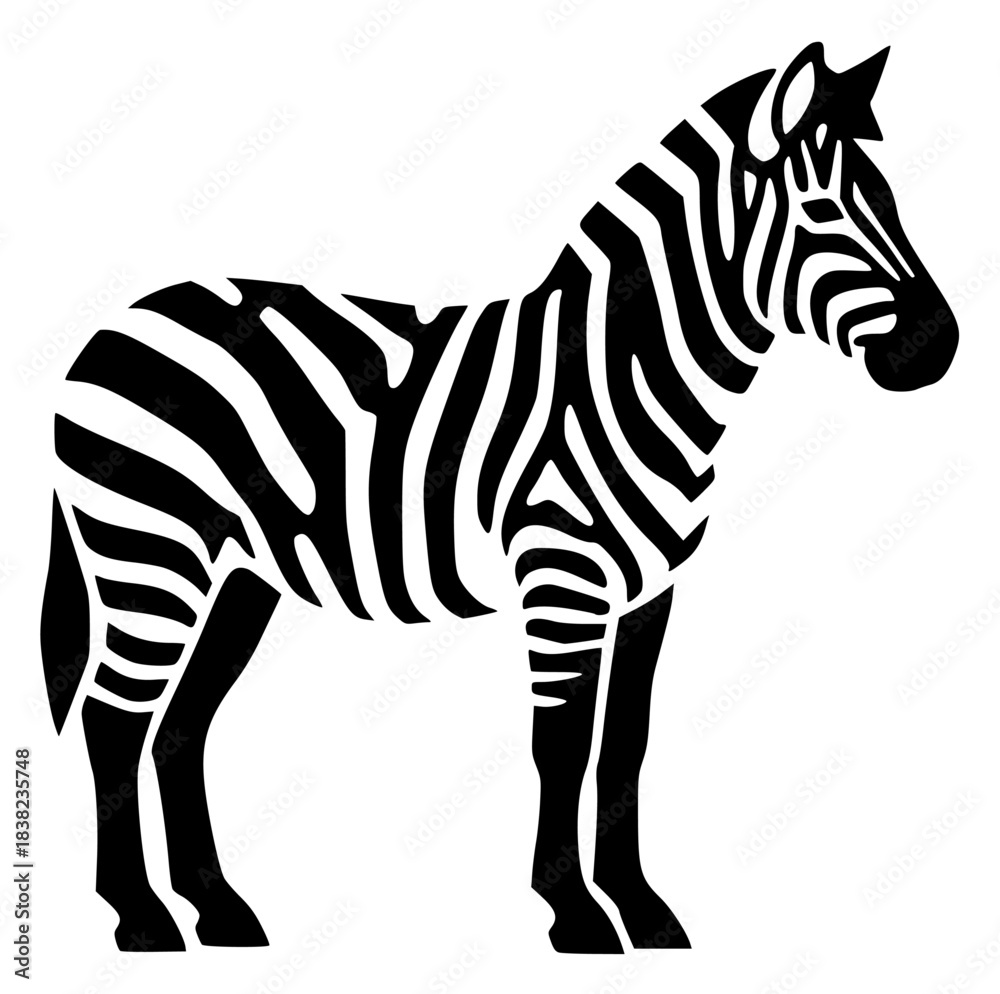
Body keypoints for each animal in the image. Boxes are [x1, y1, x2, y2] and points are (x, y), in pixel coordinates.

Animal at [41, 41, 958, 955]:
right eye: (821, 211)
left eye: (889, 198)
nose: (936, 347)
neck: (619, 373)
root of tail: (110, 328)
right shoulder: (562, 580)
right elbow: (561, 745)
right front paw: (576, 914)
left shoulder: (650, 593)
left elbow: (624, 745)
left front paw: (644, 910)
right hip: (150, 552)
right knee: (114, 718)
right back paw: (141, 917)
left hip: (237, 576)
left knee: (181, 724)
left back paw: (220, 910)